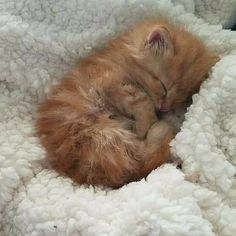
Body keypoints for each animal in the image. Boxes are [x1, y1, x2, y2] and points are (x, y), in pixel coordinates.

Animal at [36, 18, 218, 188]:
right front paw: (146, 125)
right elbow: (144, 101)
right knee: (141, 158)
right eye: (163, 87)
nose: (165, 108)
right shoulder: (106, 83)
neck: (122, 59)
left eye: (180, 99)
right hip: (103, 135)